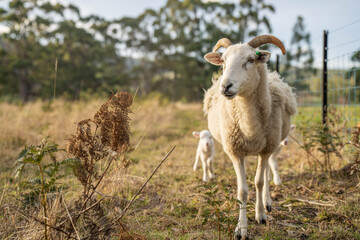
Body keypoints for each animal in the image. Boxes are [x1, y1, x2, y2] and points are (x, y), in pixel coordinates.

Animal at [204, 35, 296, 238]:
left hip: (270, 145)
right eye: (223, 62)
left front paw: (260, 215)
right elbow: (243, 191)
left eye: (251, 60)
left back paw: (267, 202)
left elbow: (259, 182)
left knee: (267, 172)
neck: (249, 126)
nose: (225, 86)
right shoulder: (235, 152)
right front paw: (241, 228)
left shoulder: (266, 150)